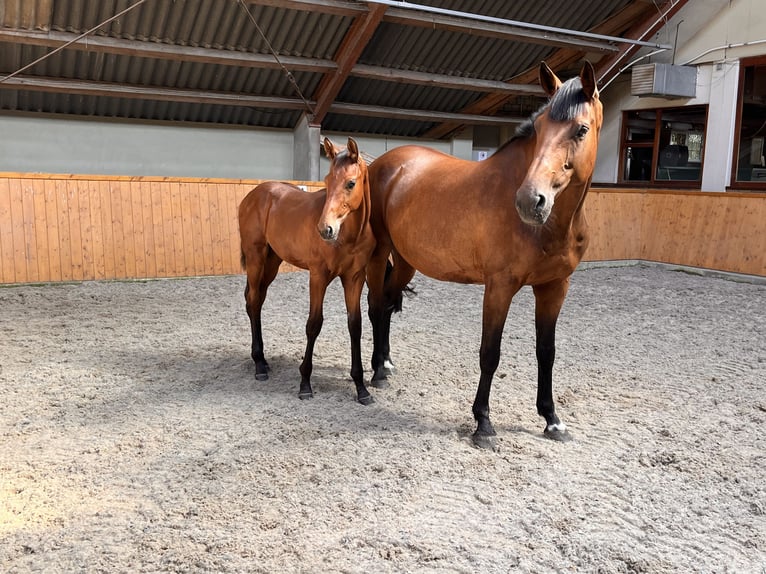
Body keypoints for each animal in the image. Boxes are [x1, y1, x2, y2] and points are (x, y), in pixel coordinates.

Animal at [237, 137, 376, 404]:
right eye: (327, 180)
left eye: (350, 183)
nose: (325, 229)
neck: (348, 235)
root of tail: (252, 196)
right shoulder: (318, 276)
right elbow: (314, 324)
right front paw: (305, 383)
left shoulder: (354, 278)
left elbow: (355, 325)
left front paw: (361, 387)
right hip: (256, 258)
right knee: (253, 301)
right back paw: (259, 364)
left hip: (272, 262)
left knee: (256, 301)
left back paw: (263, 361)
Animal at [368, 63, 608, 450]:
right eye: (540, 129)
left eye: (581, 129)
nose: (530, 200)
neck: (549, 227)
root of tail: (384, 164)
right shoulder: (499, 287)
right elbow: (490, 353)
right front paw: (483, 423)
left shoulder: (555, 287)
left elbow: (547, 352)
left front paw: (552, 420)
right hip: (379, 253)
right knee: (376, 306)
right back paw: (374, 373)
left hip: (406, 260)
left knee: (388, 304)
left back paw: (385, 365)